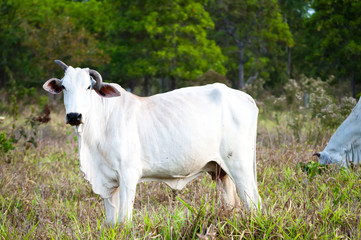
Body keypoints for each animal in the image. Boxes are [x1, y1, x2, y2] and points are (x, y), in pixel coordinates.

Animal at [43, 60, 260, 225]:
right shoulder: (108, 183)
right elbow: (112, 222)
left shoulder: (128, 175)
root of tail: (244, 97)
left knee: (254, 203)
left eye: (88, 86)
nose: (74, 116)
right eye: (64, 87)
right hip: (220, 171)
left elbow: (124, 220)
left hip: (240, 166)